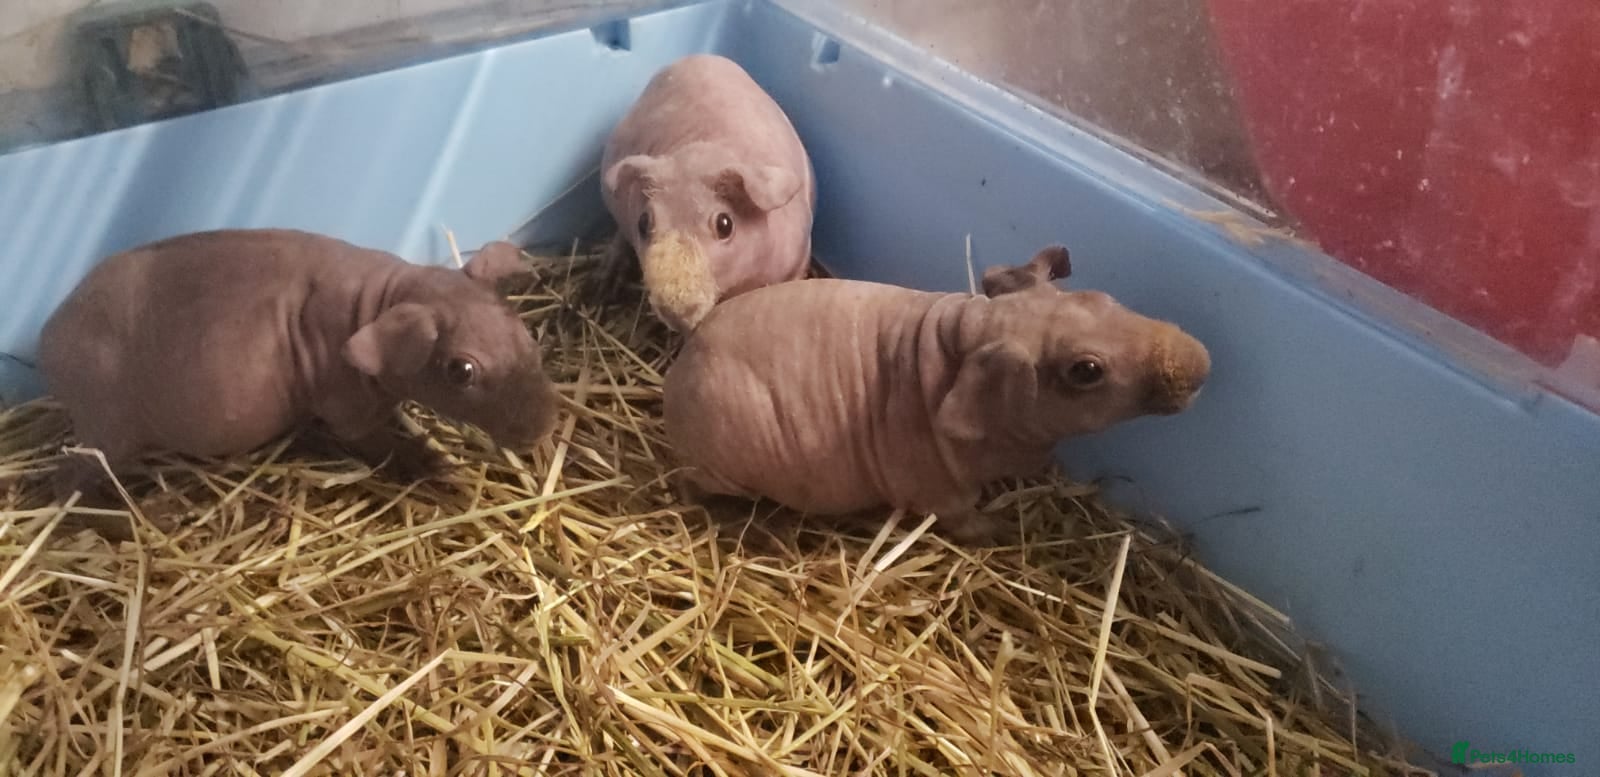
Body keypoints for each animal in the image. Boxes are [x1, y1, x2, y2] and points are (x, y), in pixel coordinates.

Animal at [37, 228, 560, 509]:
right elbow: (379, 442)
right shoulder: (346, 406)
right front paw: (429, 460)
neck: (380, 299)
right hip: (107, 430)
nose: (542, 430)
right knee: (70, 480)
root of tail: (49, 336)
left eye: (523, 334)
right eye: (461, 371)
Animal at [661, 245, 1211, 544]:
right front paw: (1002, 528)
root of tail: (678, 372)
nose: (1202, 363)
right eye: (1086, 370)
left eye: (1100, 298)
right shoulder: (946, 499)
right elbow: (970, 523)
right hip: (720, 476)